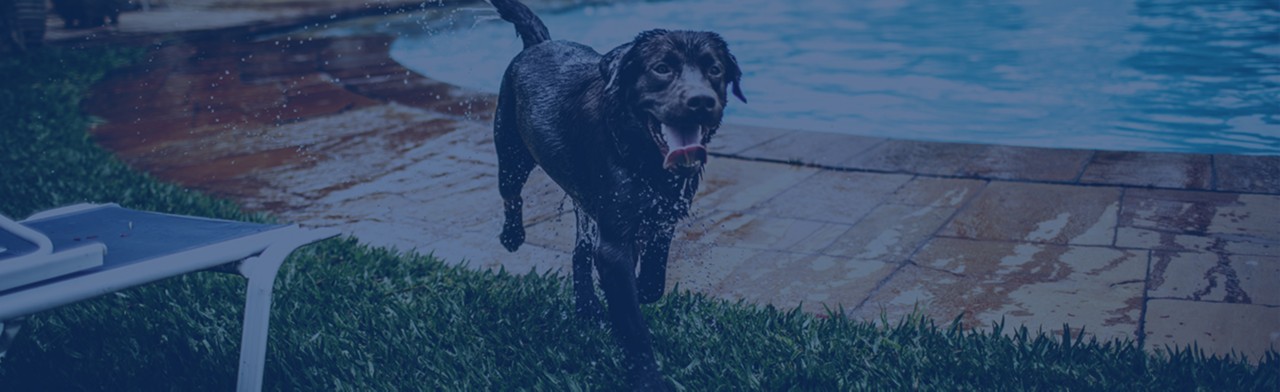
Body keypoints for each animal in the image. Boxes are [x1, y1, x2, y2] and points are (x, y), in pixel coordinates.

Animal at [488, 0, 747, 389]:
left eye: (714, 69)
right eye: (661, 68)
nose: (701, 101)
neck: (639, 152)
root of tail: (539, 43)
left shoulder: (662, 216)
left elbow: (652, 281)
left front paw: (637, 289)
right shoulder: (614, 241)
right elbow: (633, 323)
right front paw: (648, 378)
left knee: (580, 252)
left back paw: (588, 308)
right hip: (511, 151)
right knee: (511, 194)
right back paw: (513, 236)